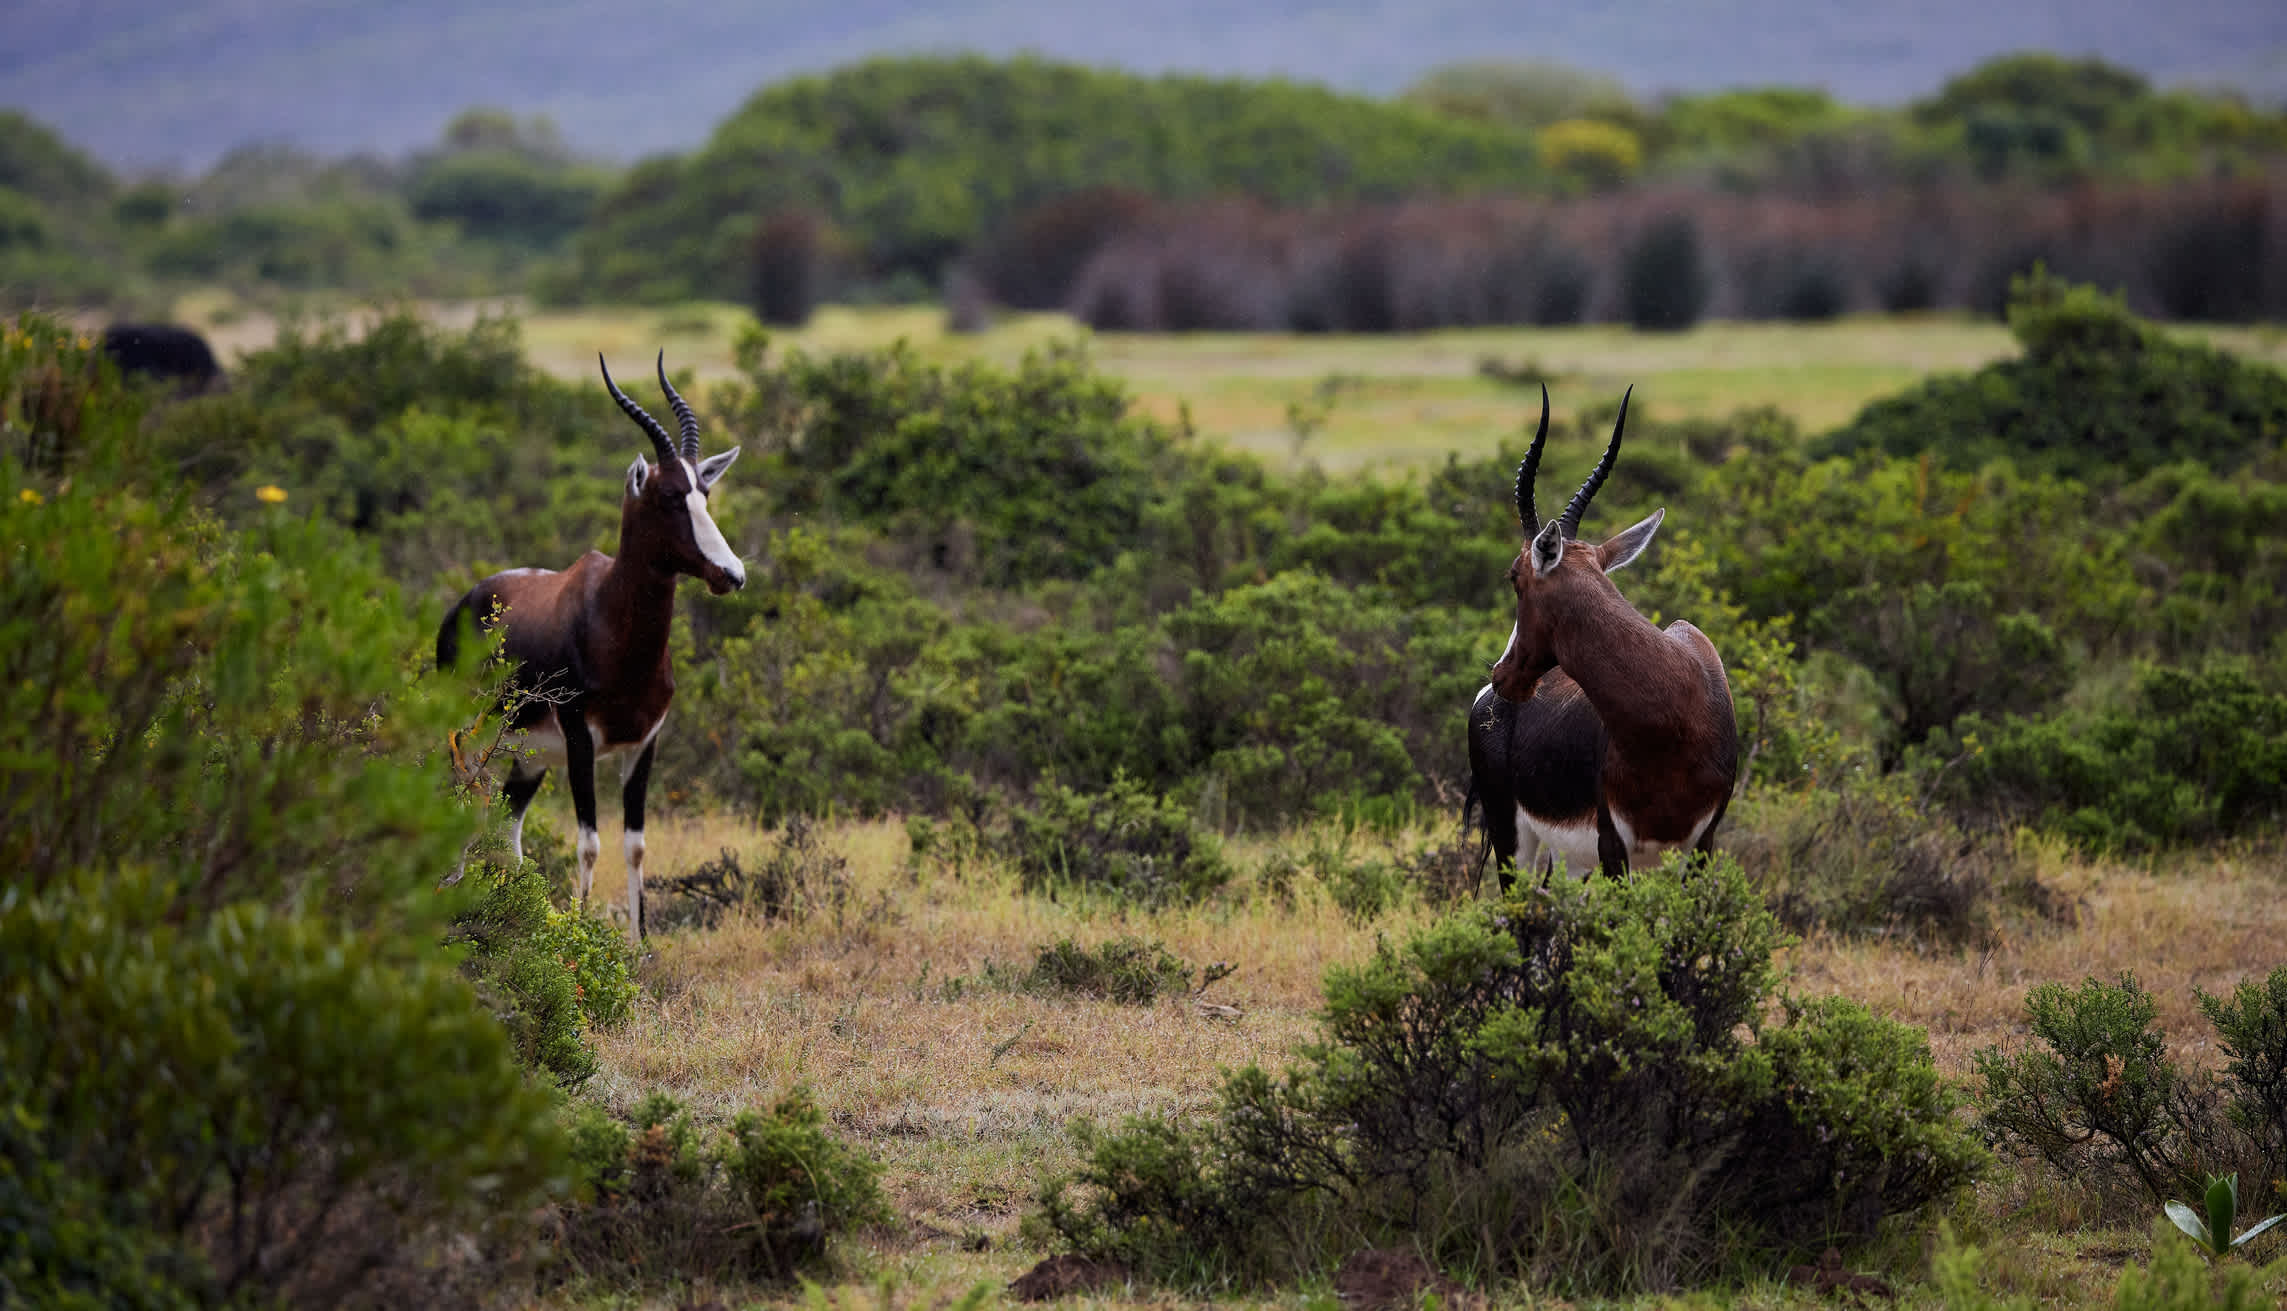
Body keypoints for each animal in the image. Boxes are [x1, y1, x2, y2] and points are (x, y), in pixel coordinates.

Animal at [434, 350, 740, 942]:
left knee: (508, 827)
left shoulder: (645, 744)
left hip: (525, 759)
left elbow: (635, 845)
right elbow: (590, 842)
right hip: (473, 734)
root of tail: (466, 602)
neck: (612, 626)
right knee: (463, 792)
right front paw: (579, 932)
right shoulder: (580, 740)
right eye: (668, 495)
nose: (731, 574)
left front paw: (640, 945)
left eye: (705, 493)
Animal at [1463, 384, 1728, 883]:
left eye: (1514, 577)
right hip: (1515, 843)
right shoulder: (1613, 846)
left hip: (1569, 862)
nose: (1503, 673)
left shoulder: (1701, 846)